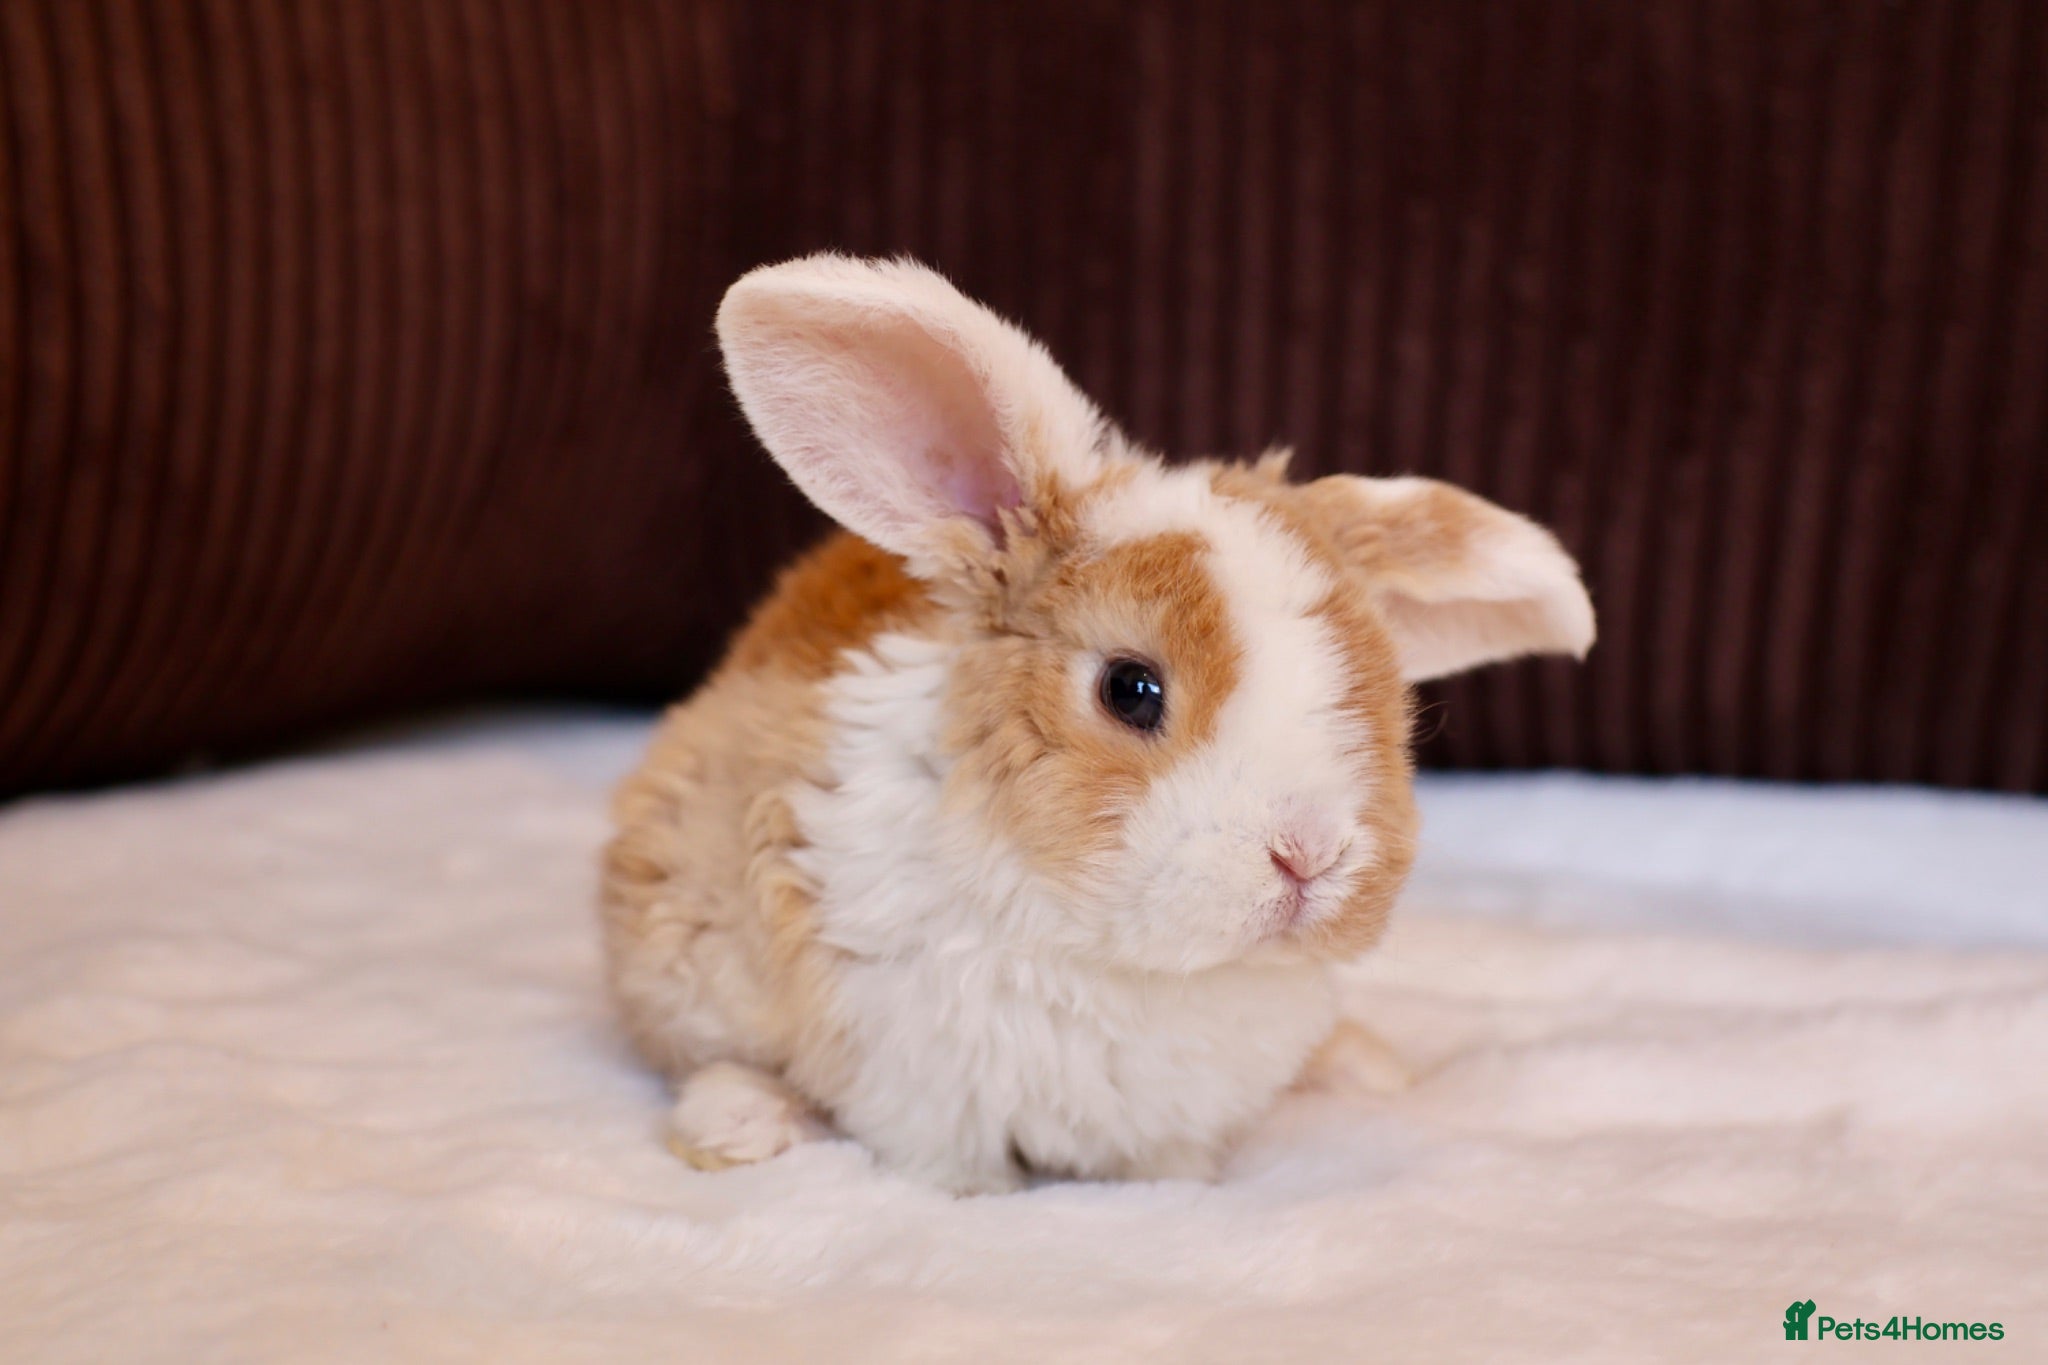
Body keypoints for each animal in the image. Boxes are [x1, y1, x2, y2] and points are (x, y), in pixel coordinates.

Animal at [599, 254, 1594, 1194]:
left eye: (1383, 692)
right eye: (1131, 689)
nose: (1310, 854)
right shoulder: (917, 1080)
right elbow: (944, 1162)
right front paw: (969, 1195)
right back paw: (736, 1124)